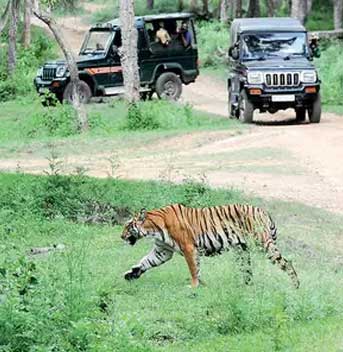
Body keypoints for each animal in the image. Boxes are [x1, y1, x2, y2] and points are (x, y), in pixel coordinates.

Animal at [121, 204, 300, 288]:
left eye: (128, 226)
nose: (121, 236)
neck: (154, 228)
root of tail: (264, 211)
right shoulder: (162, 251)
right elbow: (146, 261)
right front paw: (131, 274)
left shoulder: (188, 247)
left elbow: (193, 268)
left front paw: (194, 286)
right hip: (242, 251)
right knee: (247, 271)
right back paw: (245, 286)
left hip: (263, 244)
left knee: (287, 263)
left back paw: (295, 286)